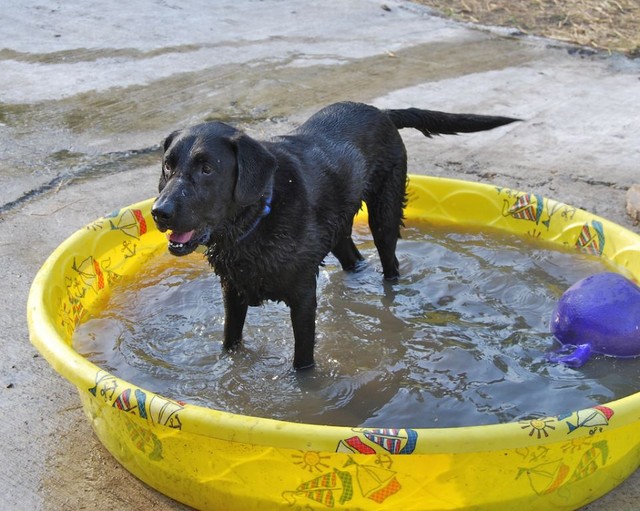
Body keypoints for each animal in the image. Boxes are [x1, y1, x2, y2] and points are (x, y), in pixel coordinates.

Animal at [152, 102, 516, 370]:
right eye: (168, 165)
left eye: (207, 169)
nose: (159, 212)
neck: (255, 221)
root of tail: (382, 111)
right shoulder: (233, 291)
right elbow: (230, 343)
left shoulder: (303, 298)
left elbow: (302, 363)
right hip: (338, 232)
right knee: (353, 257)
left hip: (384, 215)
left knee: (390, 263)